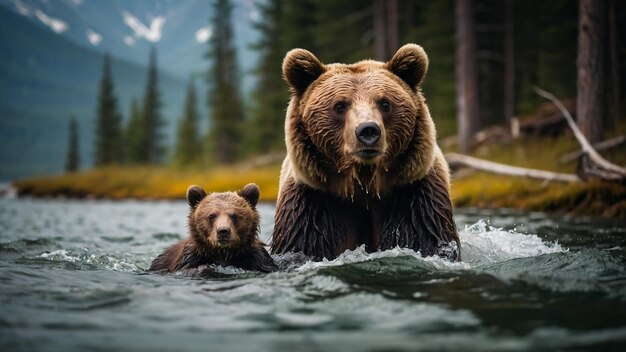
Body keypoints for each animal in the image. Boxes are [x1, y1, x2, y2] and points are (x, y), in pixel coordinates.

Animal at [270, 43, 458, 262]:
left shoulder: (415, 199)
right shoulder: (311, 206)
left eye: (385, 103)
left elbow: (422, 239)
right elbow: (303, 245)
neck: (363, 186)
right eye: (339, 105)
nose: (368, 130)